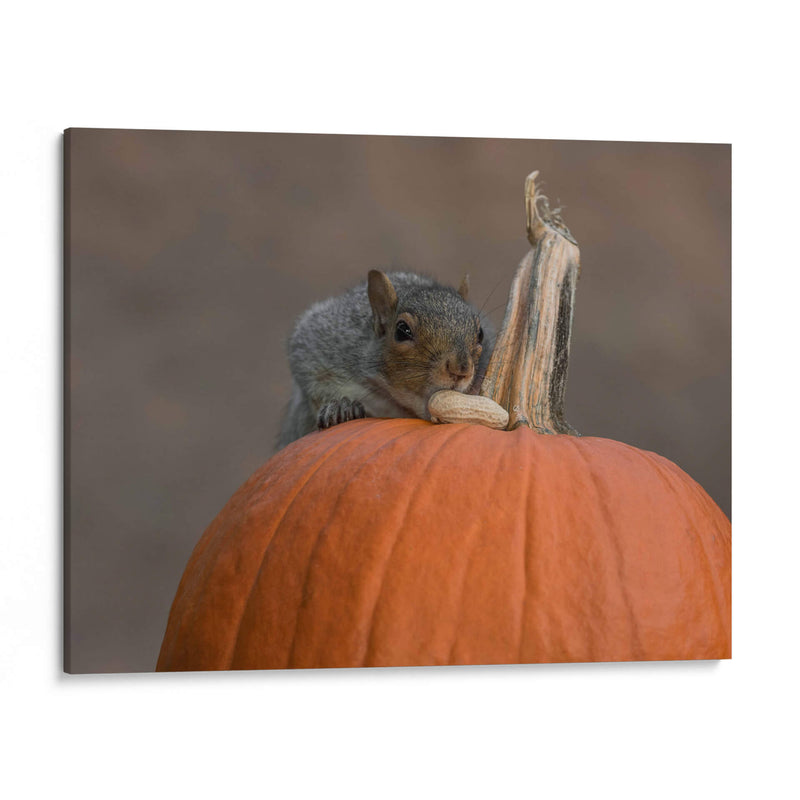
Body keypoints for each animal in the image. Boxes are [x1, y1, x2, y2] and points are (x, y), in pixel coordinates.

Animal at [276, 270, 495, 450]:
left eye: (481, 334)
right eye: (402, 330)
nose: (461, 369)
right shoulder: (324, 341)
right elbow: (311, 375)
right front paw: (339, 407)